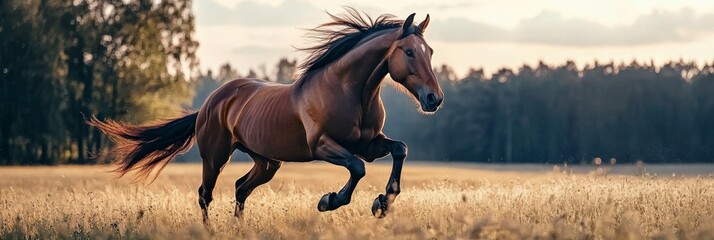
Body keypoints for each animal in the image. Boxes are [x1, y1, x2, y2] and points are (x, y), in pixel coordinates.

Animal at [89, 8, 442, 220]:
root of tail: (211, 102)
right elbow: (357, 169)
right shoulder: (323, 146)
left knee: (240, 188)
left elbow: (399, 149)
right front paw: (328, 201)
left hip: (267, 161)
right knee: (206, 195)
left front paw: (383, 202)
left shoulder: (369, 144)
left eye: (430, 51)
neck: (350, 93)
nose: (433, 99)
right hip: (215, 156)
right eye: (408, 52)